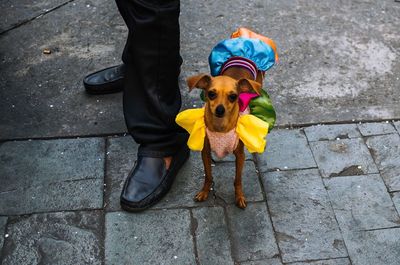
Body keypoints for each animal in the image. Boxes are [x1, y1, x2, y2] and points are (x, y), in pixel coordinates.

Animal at [187, 67, 262, 207]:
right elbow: (208, 176)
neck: (220, 128)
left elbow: (238, 179)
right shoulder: (205, 152)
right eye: (211, 94)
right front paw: (204, 191)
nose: (220, 109)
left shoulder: (240, 156)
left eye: (233, 97)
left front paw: (239, 196)